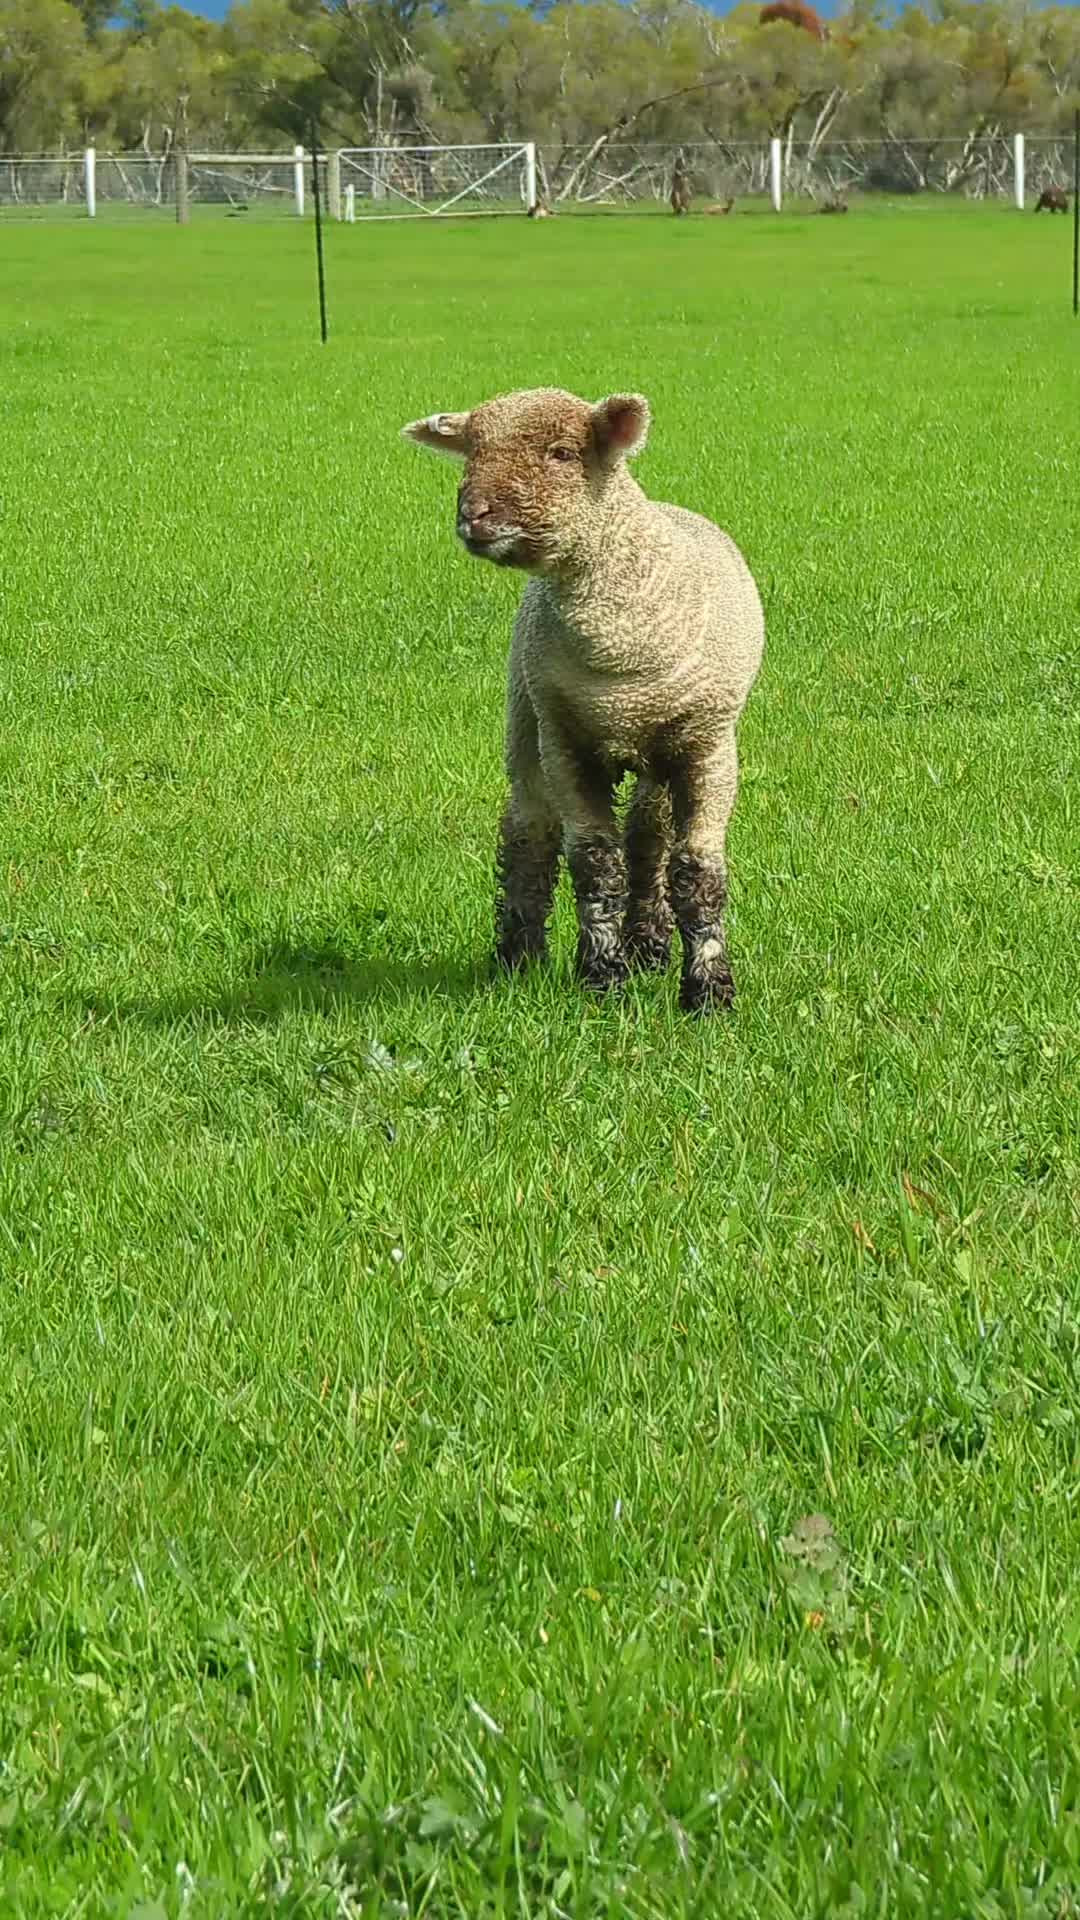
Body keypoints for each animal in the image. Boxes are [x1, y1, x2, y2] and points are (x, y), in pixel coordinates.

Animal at [402, 388, 764, 1014]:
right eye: (471, 451)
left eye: (564, 453)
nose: (474, 515)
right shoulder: (567, 741)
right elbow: (594, 863)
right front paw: (601, 976)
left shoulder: (708, 744)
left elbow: (696, 871)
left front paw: (709, 992)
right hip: (526, 717)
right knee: (529, 832)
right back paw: (519, 957)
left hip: (658, 749)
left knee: (647, 835)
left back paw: (648, 946)